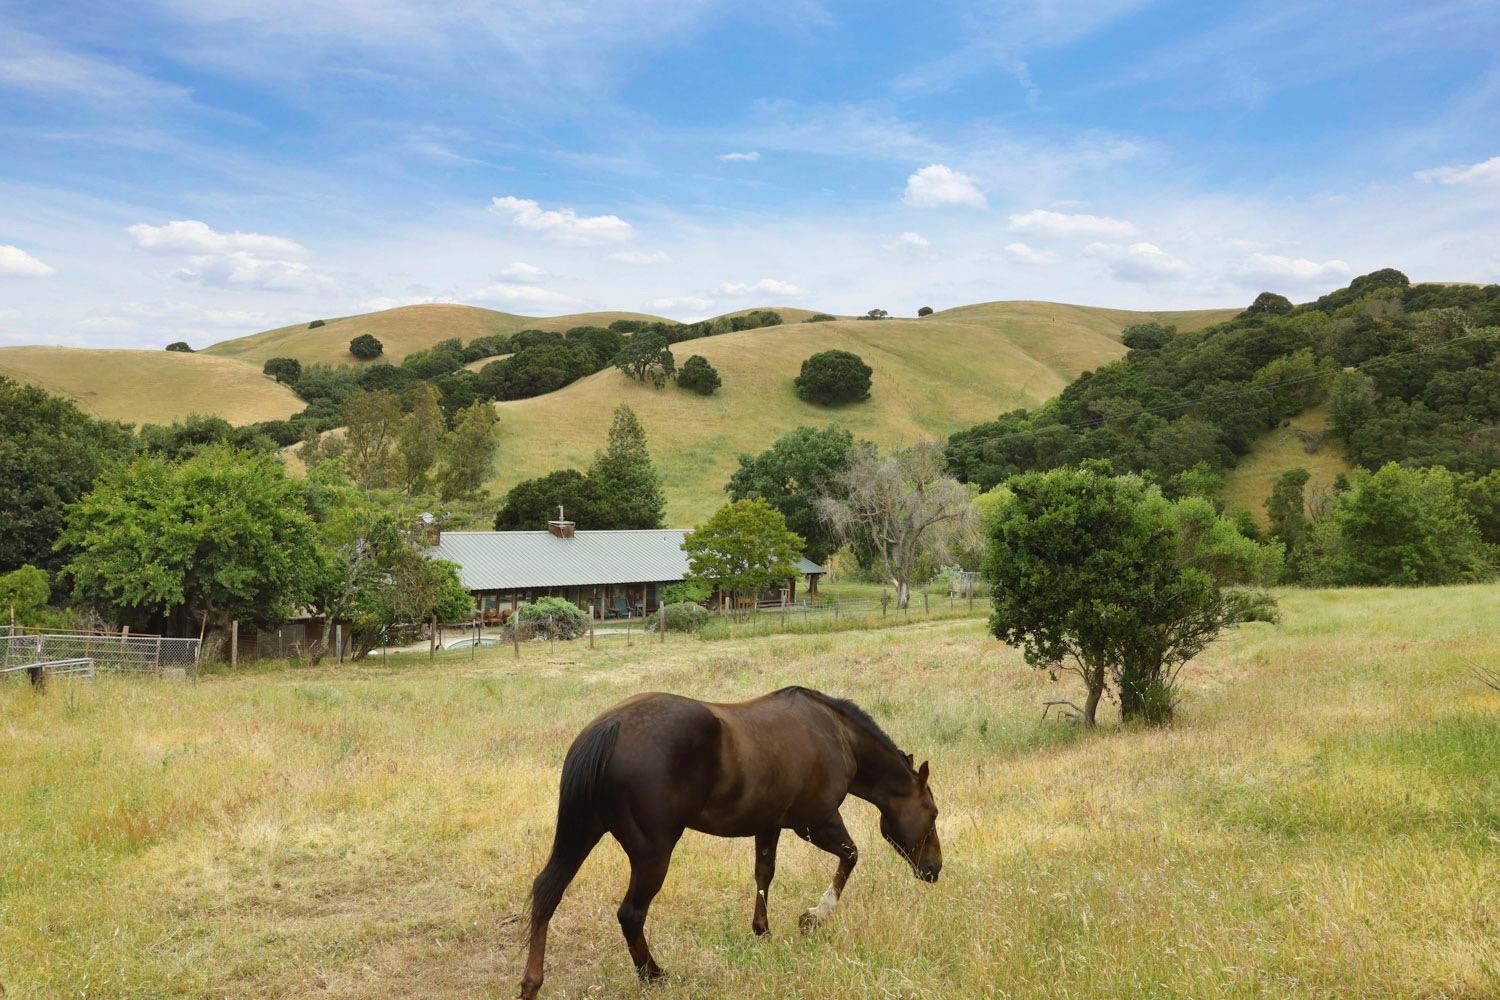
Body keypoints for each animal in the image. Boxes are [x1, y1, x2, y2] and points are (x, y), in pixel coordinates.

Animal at [516, 683, 936, 995]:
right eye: (932, 814)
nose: (934, 869)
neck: (836, 734)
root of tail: (609, 728)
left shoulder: (769, 824)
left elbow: (764, 874)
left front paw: (762, 931)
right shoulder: (816, 822)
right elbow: (850, 856)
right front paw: (814, 917)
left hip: (582, 833)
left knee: (547, 892)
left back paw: (532, 983)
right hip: (652, 855)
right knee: (630, 914)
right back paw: (653, 975)